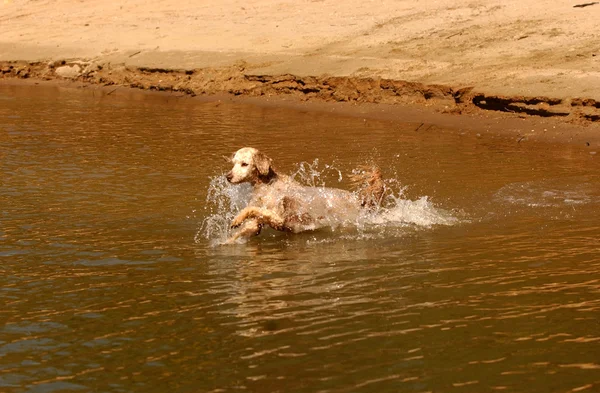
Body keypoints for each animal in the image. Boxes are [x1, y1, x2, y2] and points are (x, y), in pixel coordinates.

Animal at [225, 146, 384, 242]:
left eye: (244, 164)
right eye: (234, 163)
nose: (228, 176)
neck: (267, 185)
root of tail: (358, 200)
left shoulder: (279, 218)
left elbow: (251, 209)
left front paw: (236, 219)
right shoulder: (256, 224)